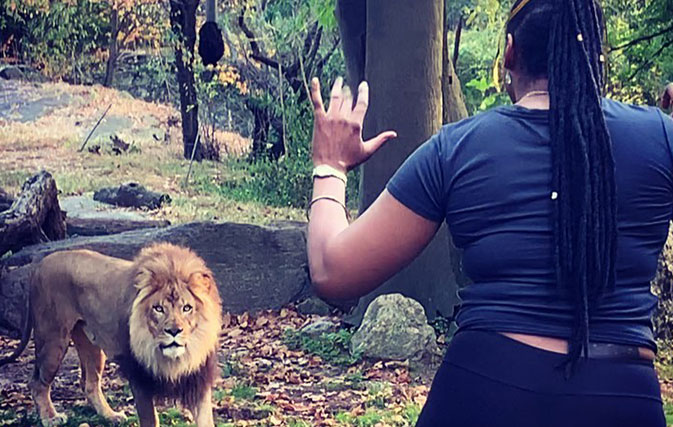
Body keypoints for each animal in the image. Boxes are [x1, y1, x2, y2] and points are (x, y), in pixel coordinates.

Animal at [0, 242, 223, 426]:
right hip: (52, 339)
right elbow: (150, 419)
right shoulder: (139, 376)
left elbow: (205, 420)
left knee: (89, 384)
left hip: (92, 348)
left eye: (187, 308)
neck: (174, 358)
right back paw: (51, 418)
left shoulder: (199, 379)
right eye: (158, 308)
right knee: (38, 382)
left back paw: (111, 416)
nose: (174, 331)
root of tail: (40, 264)